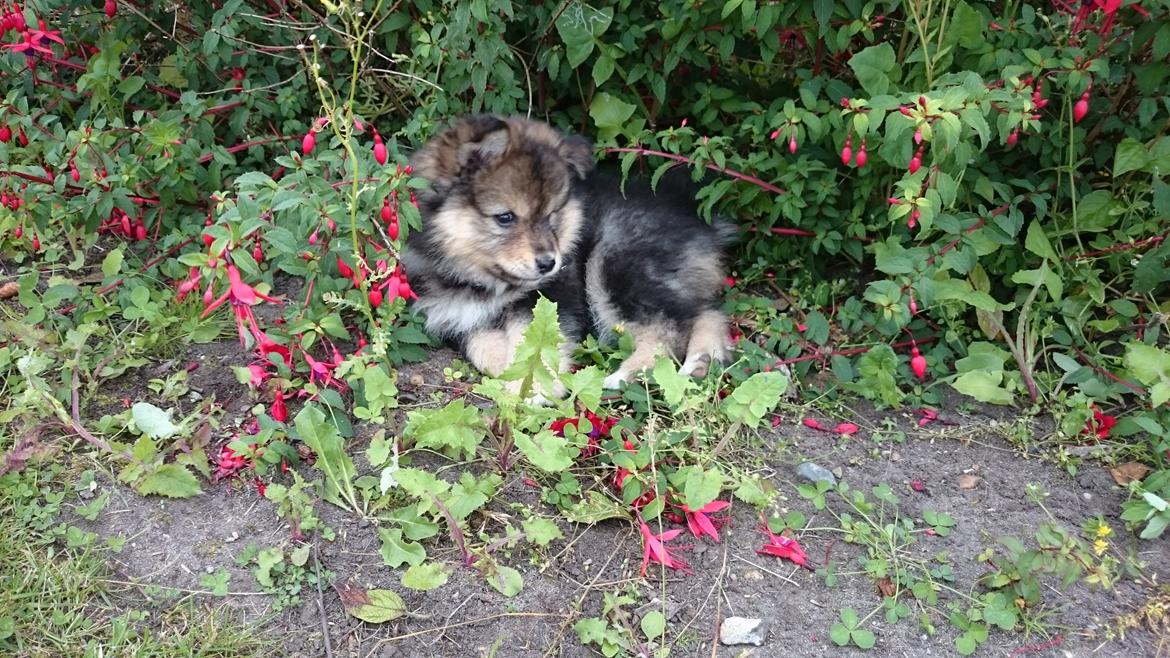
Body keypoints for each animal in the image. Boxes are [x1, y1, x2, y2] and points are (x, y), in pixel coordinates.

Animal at [402, 114, 730, 388]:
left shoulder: (551, 297)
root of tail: (690, 209)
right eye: (505, 217)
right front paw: (510, 375)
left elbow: (532, 345)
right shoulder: (459, 318)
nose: (548, 263)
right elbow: (484, 348)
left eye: (551, 215)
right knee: (704, 312)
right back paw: (703, 360)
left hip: (615, 260)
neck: (482, 280)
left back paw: (626, 375)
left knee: (669, 327)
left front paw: (531, 390)